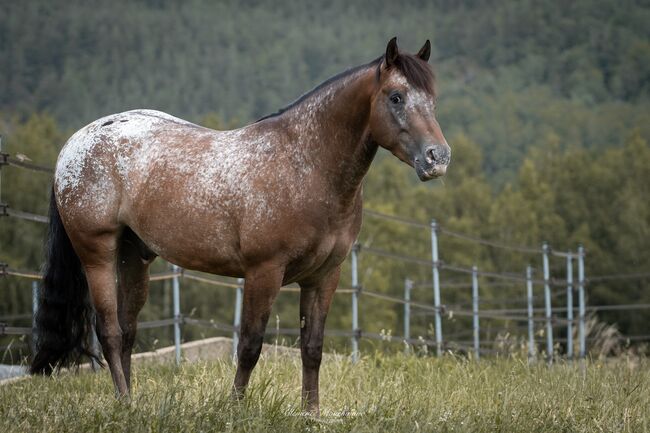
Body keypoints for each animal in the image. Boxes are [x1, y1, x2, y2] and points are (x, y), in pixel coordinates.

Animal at [31, 36, 450, 412]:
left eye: (432, 99)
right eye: (396, 97)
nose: (438, 157)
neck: (305, 166)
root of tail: (75, 144)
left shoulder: (324, 277)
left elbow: (312, 348)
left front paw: (311, 414)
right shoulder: (264, 272)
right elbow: (250, 345)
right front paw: (235, 409)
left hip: (135, 256)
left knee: (128, 330)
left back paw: (131, 403)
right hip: (97, 253)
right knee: (110, 332)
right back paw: (124, 403)